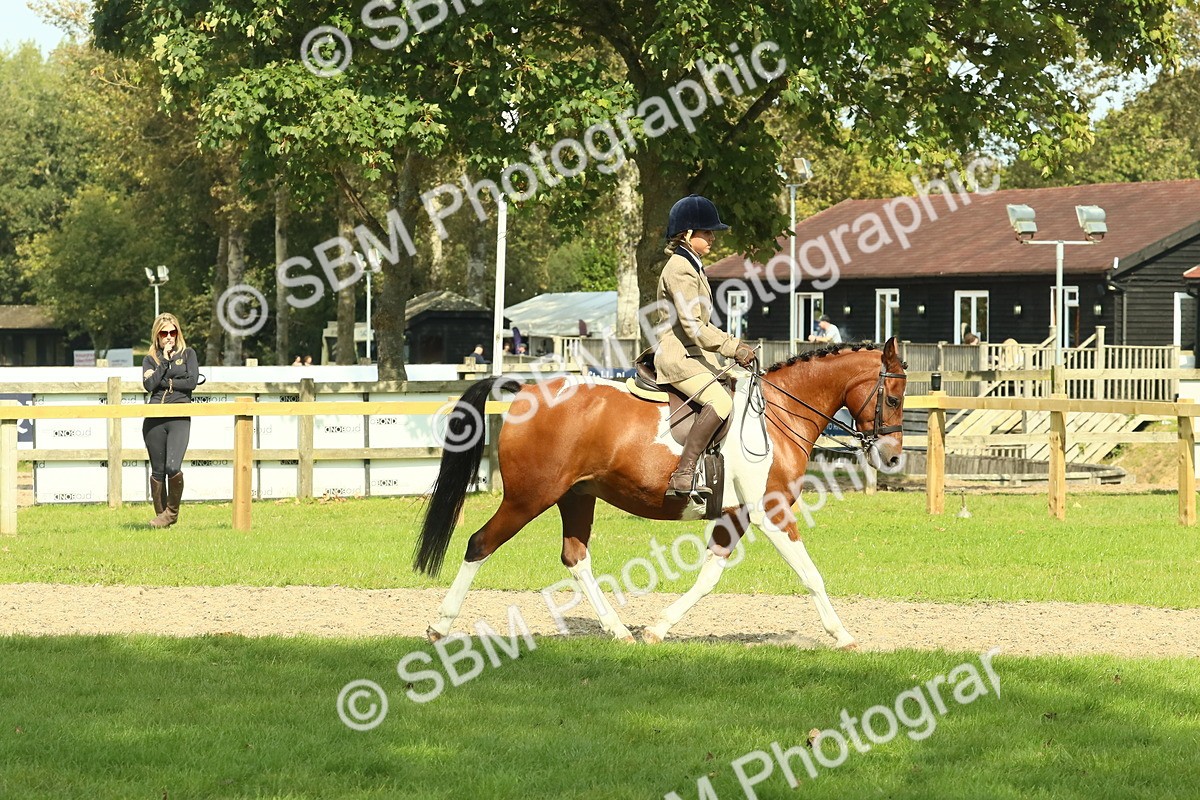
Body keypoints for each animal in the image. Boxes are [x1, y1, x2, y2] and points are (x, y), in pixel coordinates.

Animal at [414, 337, 907, 649]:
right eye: (895, 398)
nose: (893, 457)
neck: (778, 413)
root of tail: (528, 389)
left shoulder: (735, 515)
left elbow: (709, 576)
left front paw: (657, 629)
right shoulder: (771, 512)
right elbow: (810, 575)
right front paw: (843, 636)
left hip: (577, 496)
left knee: (575, 557)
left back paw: (618, 631)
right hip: (528, 497)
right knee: (480, 543)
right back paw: (439, 625)